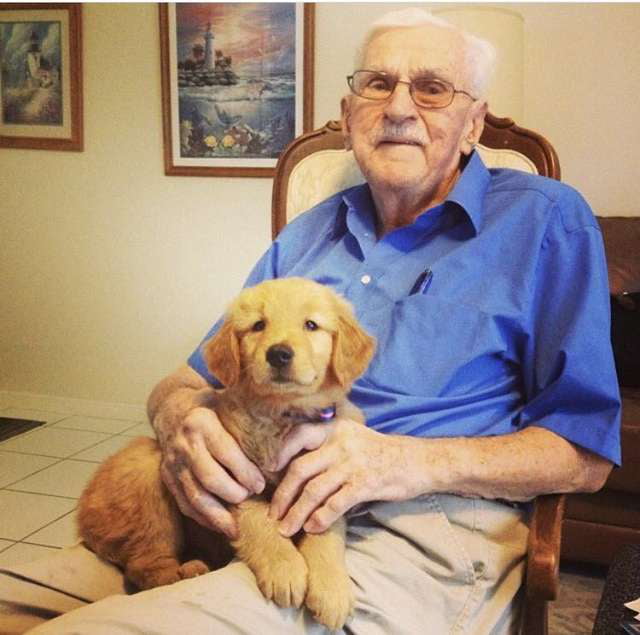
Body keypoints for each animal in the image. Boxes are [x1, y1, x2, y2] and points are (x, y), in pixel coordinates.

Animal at [77, 277, 376, 630]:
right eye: (258, 325)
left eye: (311, 325)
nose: (278, 354)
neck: (282, 415)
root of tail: (83, 519)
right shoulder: (235, 479)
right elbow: (261, 522)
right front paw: (285, 568)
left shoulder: (326, 483)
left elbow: (325, 533)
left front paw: (331, 589)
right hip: (147, 479)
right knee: (144, 565)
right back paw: (186, 572)